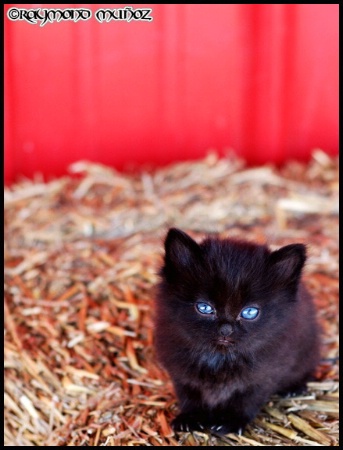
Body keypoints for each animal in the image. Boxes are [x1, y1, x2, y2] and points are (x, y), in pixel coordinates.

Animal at [155, 229, 322, 436]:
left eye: (249, 312)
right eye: (204, 307)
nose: (226, 329)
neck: (220, 358)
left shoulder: (265, 375)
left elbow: (245, 401)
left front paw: (230, 421)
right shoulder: (179, 370)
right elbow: (189, 395)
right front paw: (191, 417)